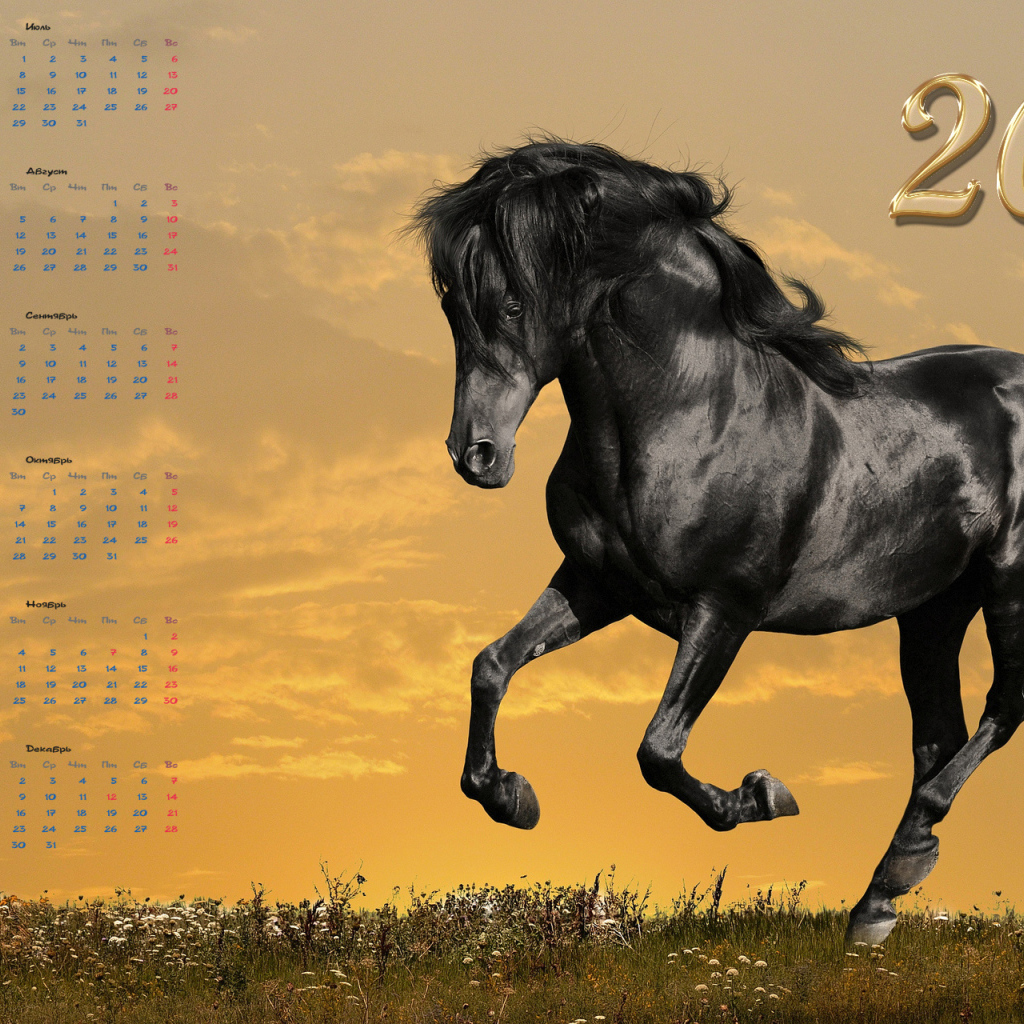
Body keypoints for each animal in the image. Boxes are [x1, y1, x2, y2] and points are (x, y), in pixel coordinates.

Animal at [409, 138, 1024, 945]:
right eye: (450, 302)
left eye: (512, 302)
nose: (475, 455)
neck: (695, 415)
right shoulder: (597, 584)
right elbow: (491, 666)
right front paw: (512, 797)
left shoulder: (724, 609)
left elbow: (658, 750)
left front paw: (762, 795)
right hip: (933, 608)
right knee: (939, 735)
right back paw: (878, 903)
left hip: (1009, 583)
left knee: (1003, 707)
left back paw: (899, 865)